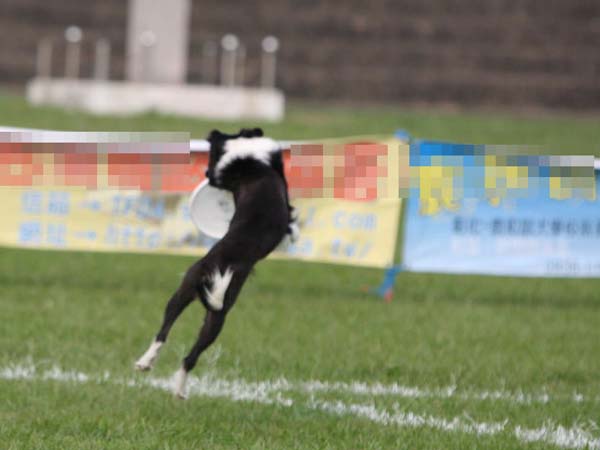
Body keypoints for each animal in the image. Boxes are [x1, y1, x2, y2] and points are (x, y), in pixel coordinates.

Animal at [135, 127, 298, 398]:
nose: (204, 173)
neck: (251, 161)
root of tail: (220, 268)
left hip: (193, 297)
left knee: (169, 337)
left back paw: (158, 372)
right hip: (212, 305)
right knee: (182, 348)